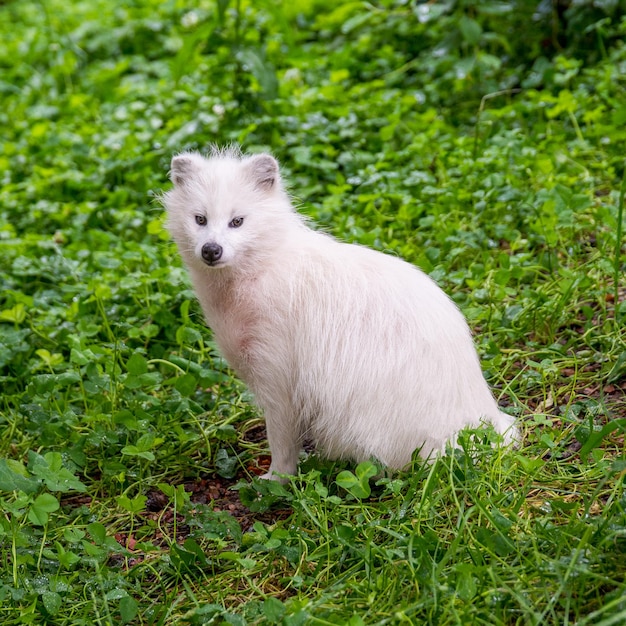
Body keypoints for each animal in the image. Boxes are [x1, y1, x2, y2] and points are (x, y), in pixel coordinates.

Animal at [162, 149, 516, 480]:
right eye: (200, 219)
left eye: (237, 221)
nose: (211, 250)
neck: (262, 268)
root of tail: (479, 418)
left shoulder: (280, 377)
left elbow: (281, 441)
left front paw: (275, 480)